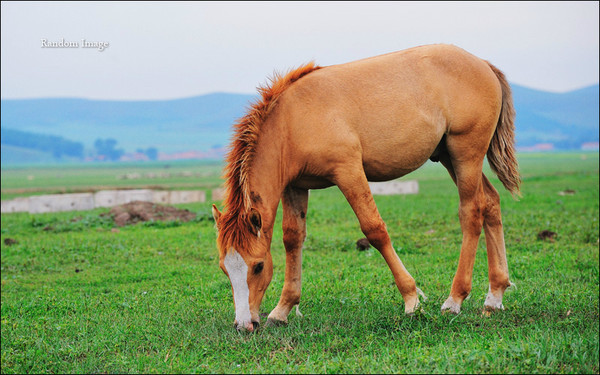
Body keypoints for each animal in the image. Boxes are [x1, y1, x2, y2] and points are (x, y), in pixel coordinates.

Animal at [212, 43, 520, 332]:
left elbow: (374, 229)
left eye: (258, 266)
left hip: (465, 154)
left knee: (472, 212)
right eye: (224, 268)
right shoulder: (294, 187)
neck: (292, 120)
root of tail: (483, 64)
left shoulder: (348, 172)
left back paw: (455, 299)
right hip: (449, 157)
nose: (244, 325)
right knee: (491, 203)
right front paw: (283, 309)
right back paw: (494, 296)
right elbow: (292, 239)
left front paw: (412, 300)